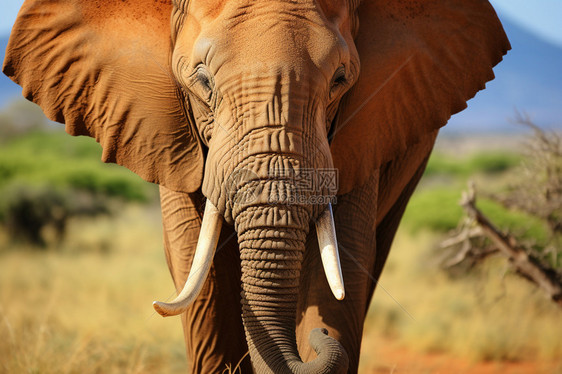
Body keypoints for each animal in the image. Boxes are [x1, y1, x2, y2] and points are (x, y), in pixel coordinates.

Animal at [4, 1, 510, 372]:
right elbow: (199, 271)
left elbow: (340, 268)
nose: (316, 341)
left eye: (341, 79)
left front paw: (325, 322)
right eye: (203, 80)